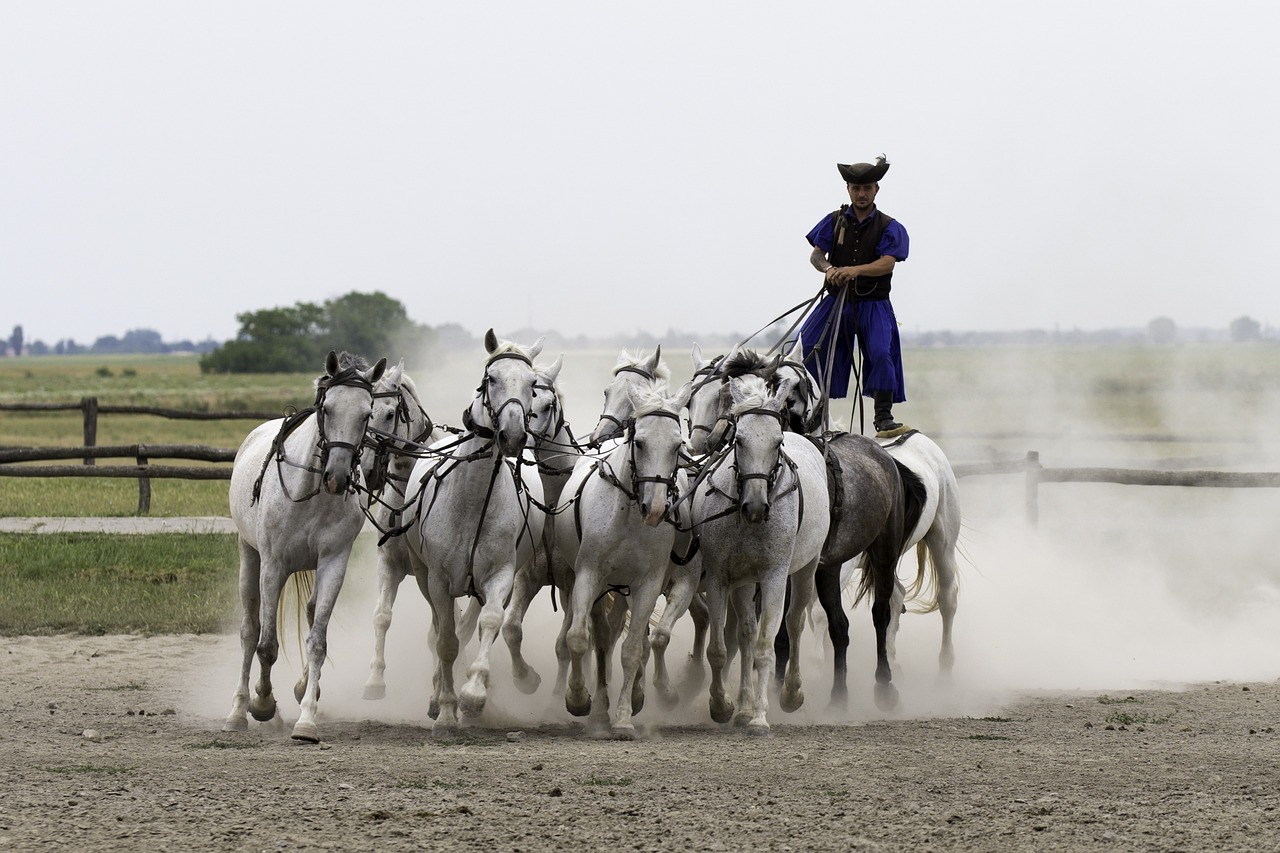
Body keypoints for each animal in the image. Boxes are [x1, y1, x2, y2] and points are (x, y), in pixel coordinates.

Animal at [222, 348, 386, 742]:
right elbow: (266, 645)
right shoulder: (273, 565)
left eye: (367, 414)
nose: (337, 477)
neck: (309, 491)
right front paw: (262, 703)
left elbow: (317, 642)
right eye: (327, 408)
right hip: (249, 556)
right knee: (250, 632)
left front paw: (307, 719)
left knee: (310, 615)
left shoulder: (333, 563)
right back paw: (237, 712)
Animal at [396, 326, 542, 732]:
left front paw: (474, 695)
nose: (513, 435)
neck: (474, 499)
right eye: (491, 379)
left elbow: (489, 622)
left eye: (533, 384)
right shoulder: (439, 579)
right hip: (422, 575)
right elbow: (445, 641)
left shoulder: (500, 575)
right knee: (439, 630)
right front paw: (446, 710)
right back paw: (436, 697)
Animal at [555, 376, 696, 732]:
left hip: (624, 588)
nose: (656, 509)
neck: (629, 515)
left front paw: (623, 717)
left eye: (677, 446)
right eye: (641, 443)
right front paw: (578, 699)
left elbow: (633, 649)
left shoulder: (647, 584)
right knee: (599, 637)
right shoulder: (588, 575)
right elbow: (579, 638)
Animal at [691, 371, 829, 732]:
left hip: (806, 567)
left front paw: (759, 716)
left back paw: (791, 693)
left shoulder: (774, 576)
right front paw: (724, 706)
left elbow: (766, 646)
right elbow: (723, 647)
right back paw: (742, 706)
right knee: (746, 634)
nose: (755, 506)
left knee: (794, 622)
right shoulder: (722, 577)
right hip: (744, 581)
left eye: (777, 442)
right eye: (738, 440)